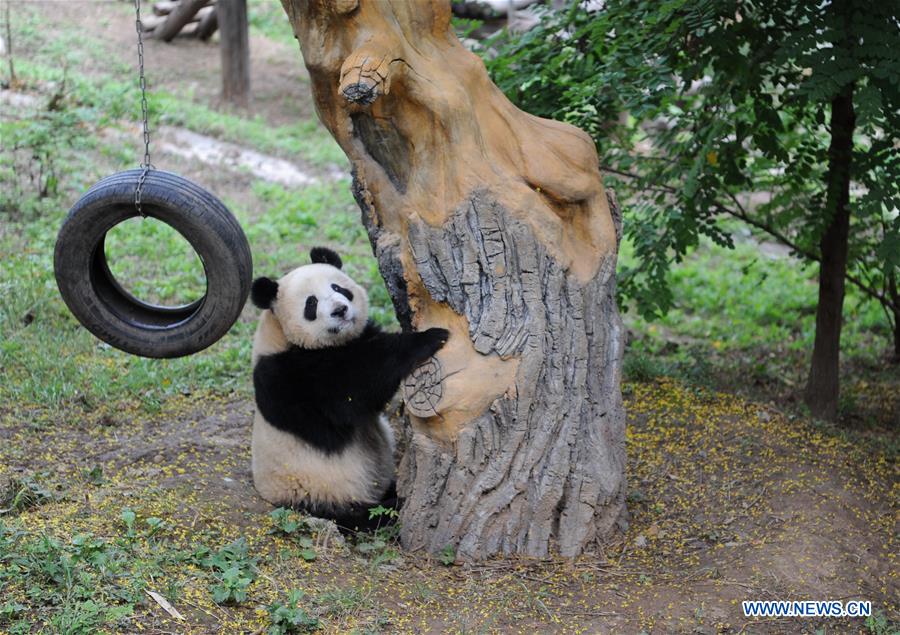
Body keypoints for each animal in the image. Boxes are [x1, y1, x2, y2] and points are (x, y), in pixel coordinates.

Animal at [248, 248, 448, 532]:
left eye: (338, 288)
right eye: (311, 304)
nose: (340, 310)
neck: (279, 334)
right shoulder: (288, 375)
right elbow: (349, 395)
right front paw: (428, 338)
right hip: (318, 491)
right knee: (357, 515)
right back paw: (395, 506)